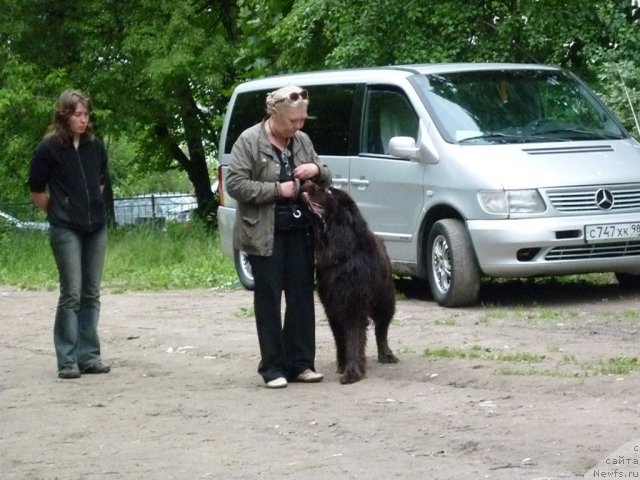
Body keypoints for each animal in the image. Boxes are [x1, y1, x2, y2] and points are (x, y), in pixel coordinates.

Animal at [298, 182, 398, 384]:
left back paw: (386, 355)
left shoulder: (353, 305)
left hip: (385, 301)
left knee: (382, 330)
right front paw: (343, 365)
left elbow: (354, 338)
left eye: (328, 191)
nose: (306, 182)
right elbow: (341, 338)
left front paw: (352, 372)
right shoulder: (332, 308)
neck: (341, 255)